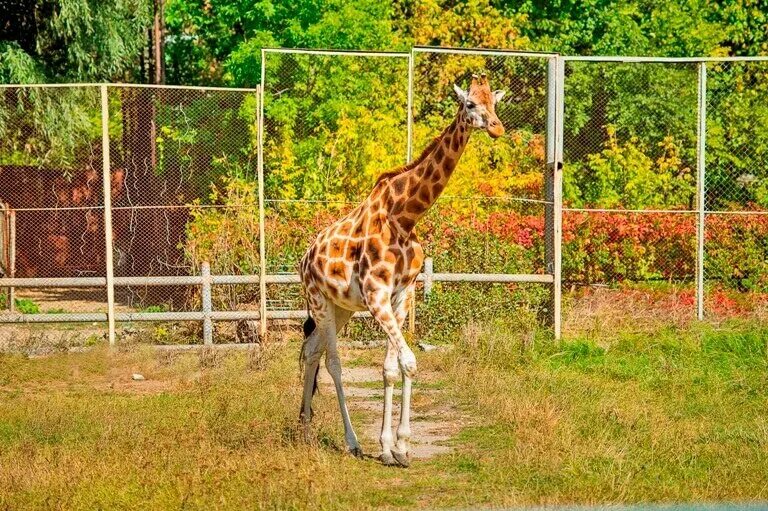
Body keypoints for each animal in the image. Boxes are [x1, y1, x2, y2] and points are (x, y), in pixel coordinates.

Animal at [296, 72, 508, 468]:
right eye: (470, 103)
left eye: (496, 102)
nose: (497, 128)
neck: (405, 217)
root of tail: (305, 258)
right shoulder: (376, 295)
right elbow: (409, 362)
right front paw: (396, 446)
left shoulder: (400, 296)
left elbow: (392, 368)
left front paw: (395, 447)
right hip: (318, 301)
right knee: (333, 362)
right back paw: (351, 442)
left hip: (340, 308)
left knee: (312, 351)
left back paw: (303, 425)